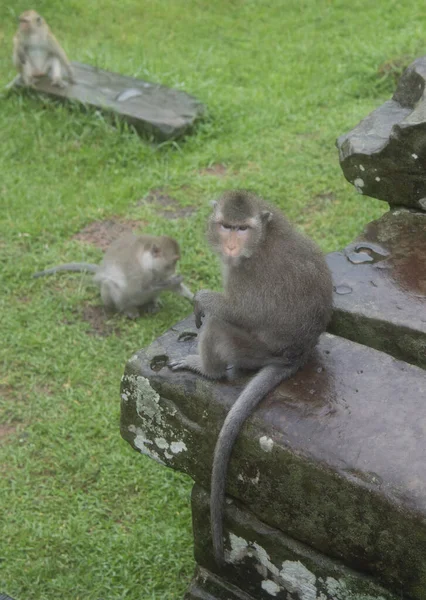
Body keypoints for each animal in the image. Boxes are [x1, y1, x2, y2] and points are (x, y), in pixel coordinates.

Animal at [34, 233, 194, 318]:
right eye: (172, 263)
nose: (173, 271)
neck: (146, 263)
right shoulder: (136, 271)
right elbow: (136, 290)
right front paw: (171, 282)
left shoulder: (158, 272)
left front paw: (192, 297)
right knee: (109, 284)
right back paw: (127, 309)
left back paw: (153, 302)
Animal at [169, 191, 332, 568]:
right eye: (227, 226)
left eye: (242, 229)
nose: (230, 244)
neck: (260, 242)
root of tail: (297, 354)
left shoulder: (249, 274)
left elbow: (242, 311)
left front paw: (201, 299)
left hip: (251, 350)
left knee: (220, 325)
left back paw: (207, 368)